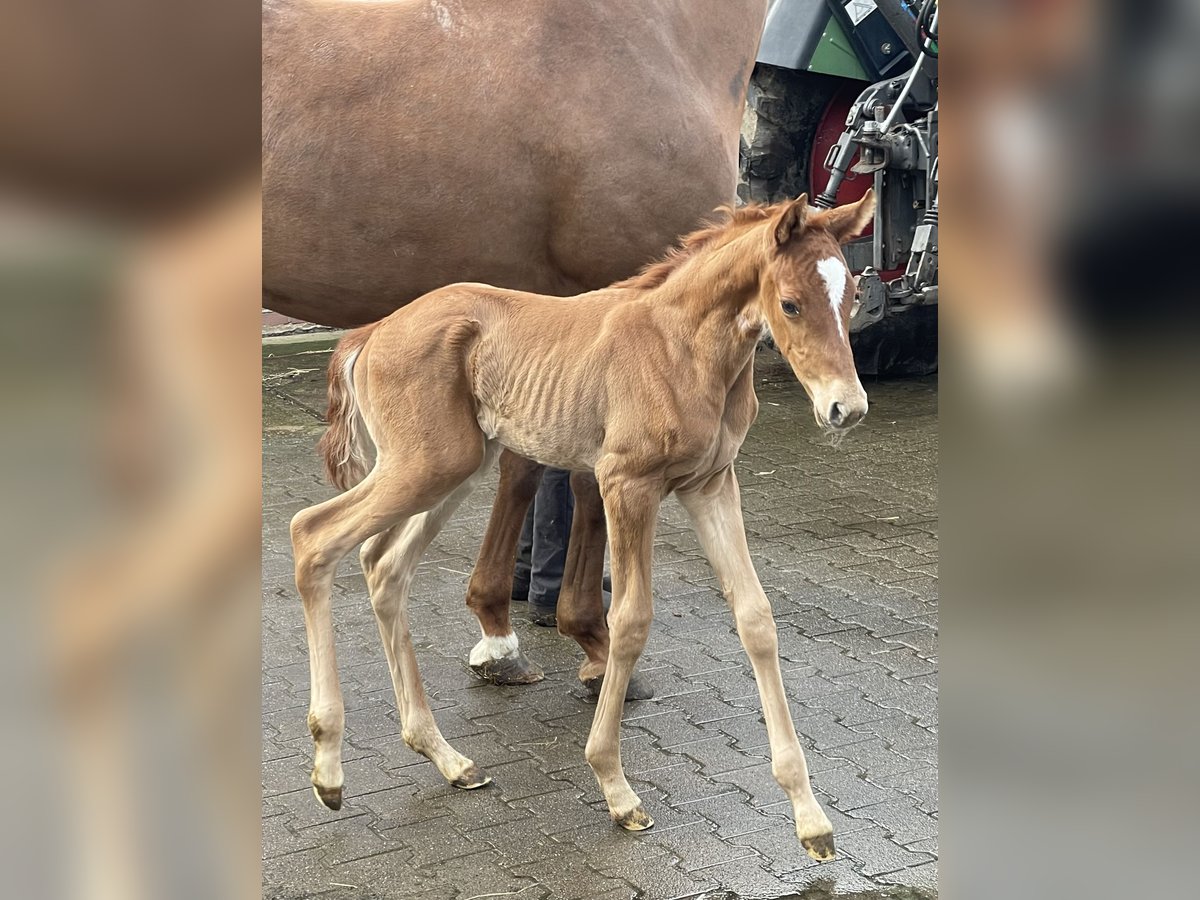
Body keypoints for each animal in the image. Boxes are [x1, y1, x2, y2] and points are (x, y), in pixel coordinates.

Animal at [290, 192, 873, 859]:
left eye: (853, 296)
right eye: (791, 304)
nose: (846, 408)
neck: (682, 347)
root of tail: (373, 331)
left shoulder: (711, 485)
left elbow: (756, 618)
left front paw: (811, 819)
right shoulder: (626, 484)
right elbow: (631, 621)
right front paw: (616, 789)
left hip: (456, 467)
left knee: (383, 565)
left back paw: (446, 758)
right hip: (425, 466)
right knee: (312, 535)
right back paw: (329, 769)